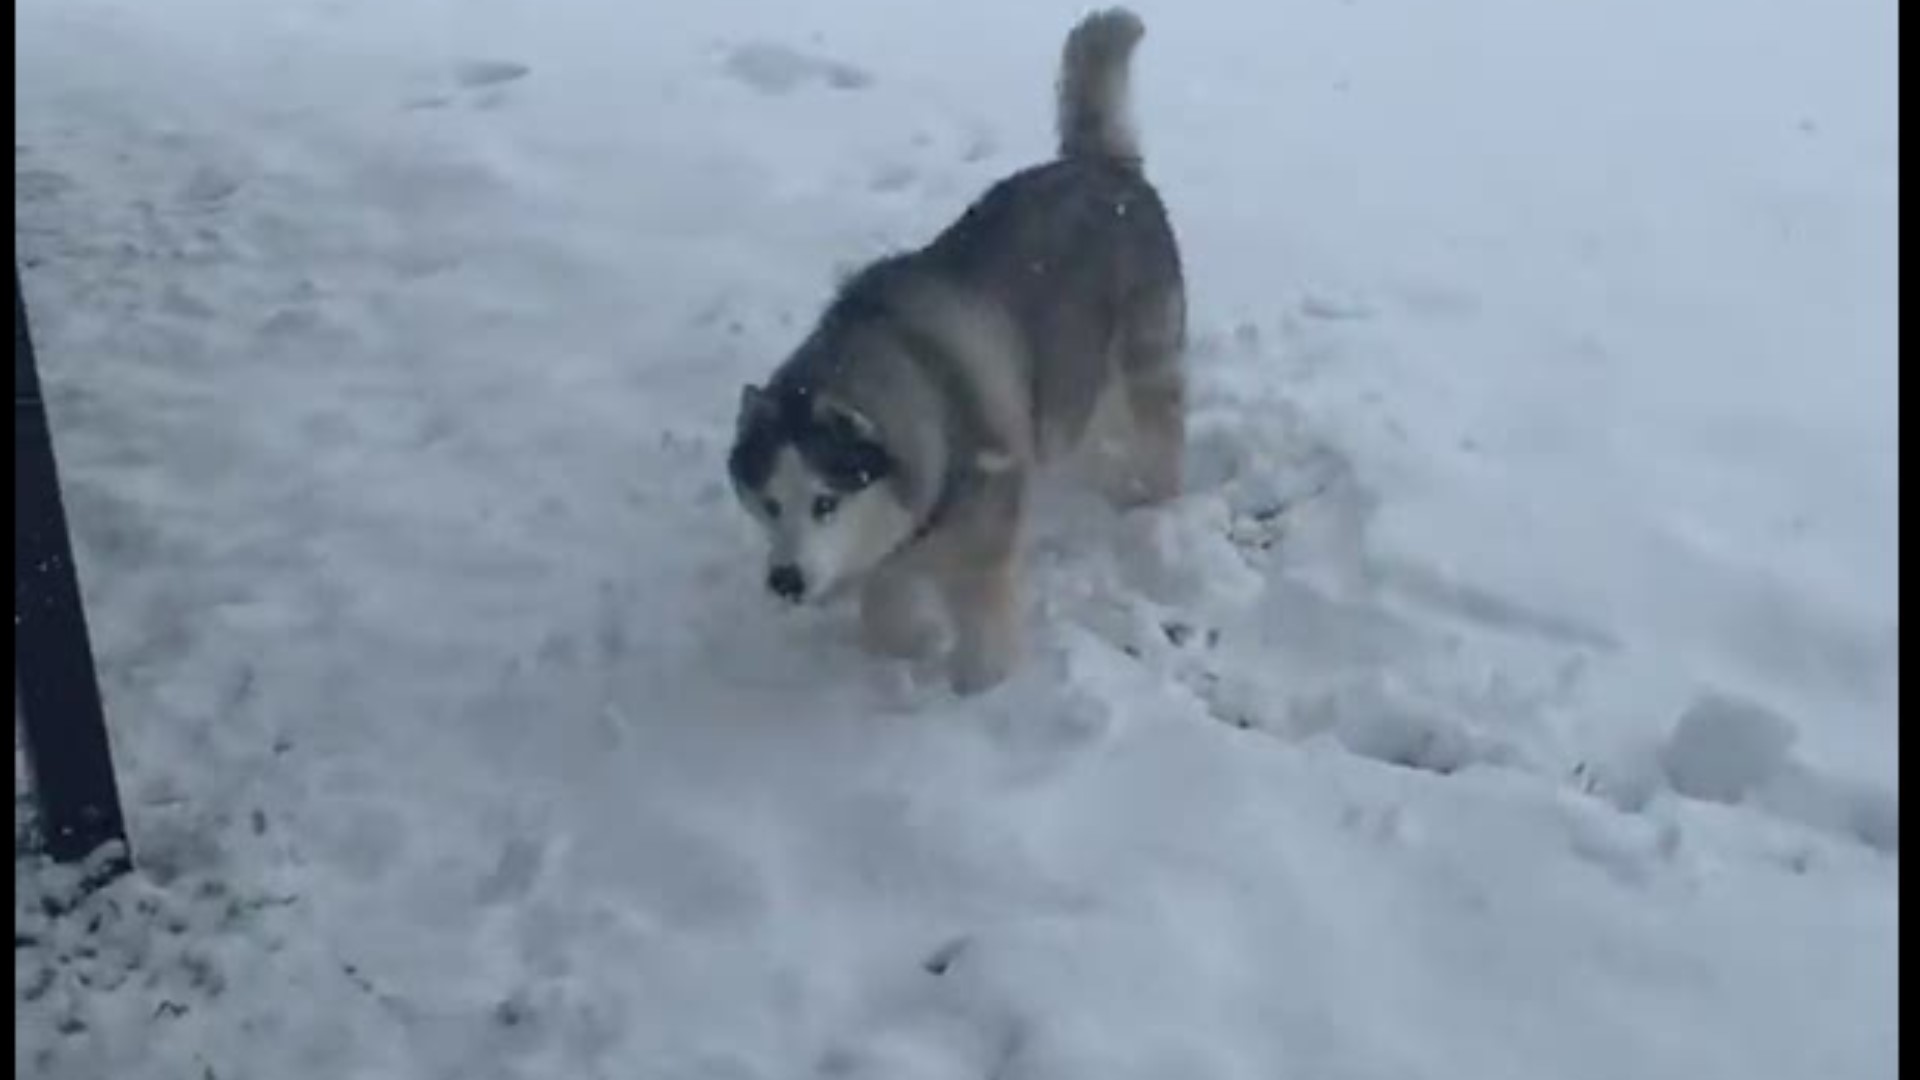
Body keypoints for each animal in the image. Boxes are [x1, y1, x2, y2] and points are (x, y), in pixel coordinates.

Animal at [729, 6, 1182, 687]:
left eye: (826, 502)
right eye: (769, 503)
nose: (785, 580)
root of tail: (1104, 163)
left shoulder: (983, 550)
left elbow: (983, 636)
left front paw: (979, 689)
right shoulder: (894, 550)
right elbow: (886, 613)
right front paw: (907, 650)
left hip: (1148, 357)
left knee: (1159, 433)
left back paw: (1153, 498)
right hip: (1074, 373)